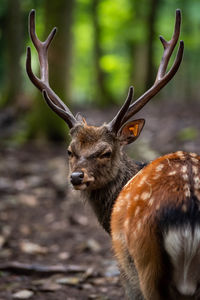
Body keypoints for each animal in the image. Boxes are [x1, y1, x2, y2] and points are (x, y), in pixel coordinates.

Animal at [26, 8, 200, 300]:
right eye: (70, 150)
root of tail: (188, 215)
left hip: (143, 257)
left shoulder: (123, 261)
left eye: (105, 152)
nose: (76, 177)